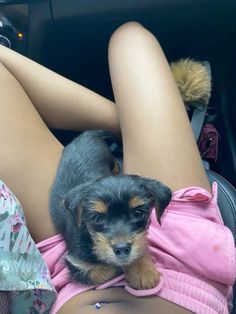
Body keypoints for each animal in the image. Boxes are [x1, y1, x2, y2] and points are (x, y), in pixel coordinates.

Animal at [49, 130, 171, 290]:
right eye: (98, 218)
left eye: (138, 213)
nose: (122, 249)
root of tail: (88, 134)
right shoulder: (78, 265)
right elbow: (105, 269)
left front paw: (142, 269)